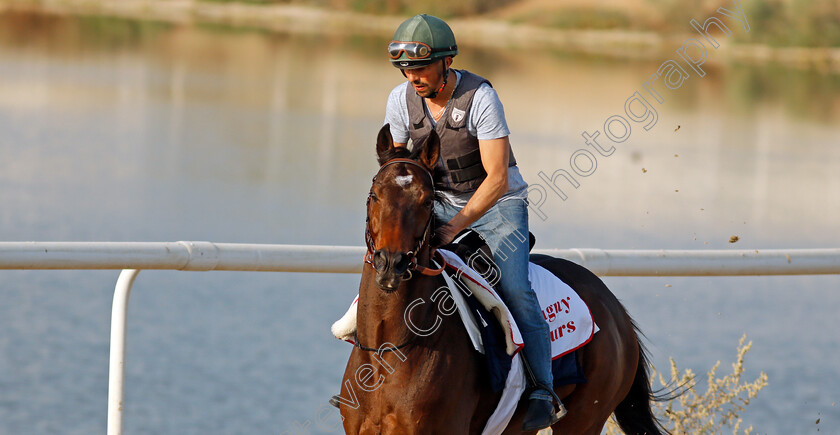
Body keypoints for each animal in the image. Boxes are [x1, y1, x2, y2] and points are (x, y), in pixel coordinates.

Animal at [336, 124, 668, 434]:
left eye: (427, 201)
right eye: (374, 196)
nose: (392, 263)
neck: (389, 350)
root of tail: (614, 307)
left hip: (584, 419)